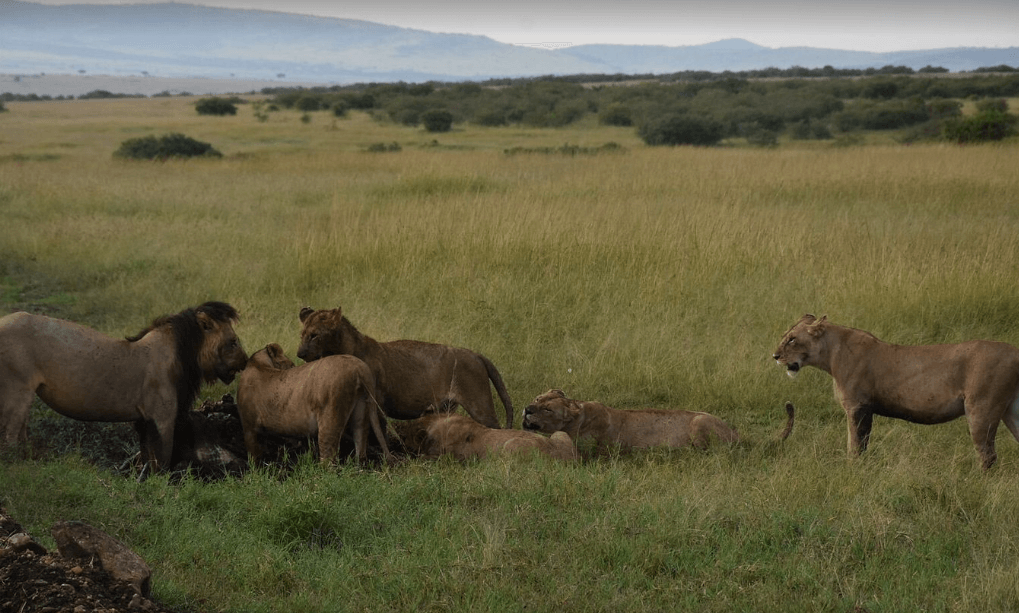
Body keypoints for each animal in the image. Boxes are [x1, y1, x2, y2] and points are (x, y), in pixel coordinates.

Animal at [0, 302, 247, 471]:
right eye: (233, 342)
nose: (245, 361)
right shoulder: (162, 417)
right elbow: (162, 459)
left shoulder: (144, 420)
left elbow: (147, 455)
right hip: (17, 390)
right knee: (10, 436)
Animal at [235, 344, 392, 464]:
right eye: (291, 364)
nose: (293, 365)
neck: (258, 364)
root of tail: (359, 368)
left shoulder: (249, 428)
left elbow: (254, 456)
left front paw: (255, 472)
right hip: (362, 410)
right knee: (360, 441)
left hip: (330, 416)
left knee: (329, 456)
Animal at [297, 306, 514, 429]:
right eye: (302, 334)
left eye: (314, 335)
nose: (300, 354)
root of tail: (476, 354)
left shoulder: (376, 402)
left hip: (479, 404)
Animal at [772, 314, 1019, 470]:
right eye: (785, 335)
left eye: (792, 339)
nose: (775, 356)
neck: (831, 354)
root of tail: (1015, 351)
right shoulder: (864, 408)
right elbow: (860, 444)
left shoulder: (857, 406)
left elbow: (855, 445)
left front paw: (851, 470)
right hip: (1011, 410)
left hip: (982, 409)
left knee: (987, 455)